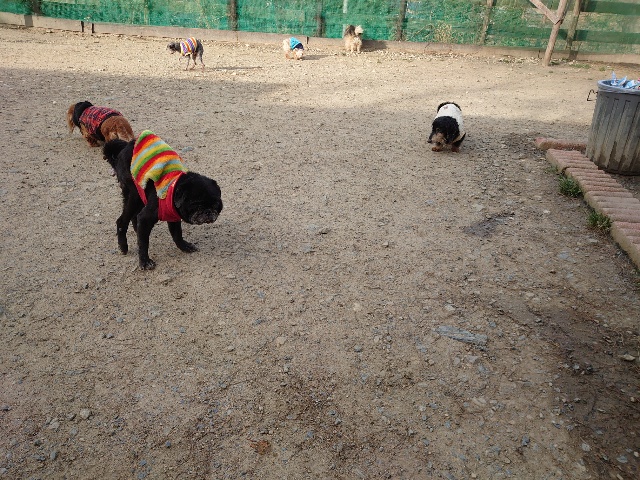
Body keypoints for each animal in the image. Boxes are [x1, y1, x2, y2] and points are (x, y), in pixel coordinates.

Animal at [102, 130, 223, 270]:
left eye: (215, 205)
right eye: (196, 206)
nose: (208, 211)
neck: (173, 187)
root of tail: (124, 148)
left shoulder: (173, 216)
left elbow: (177, 235)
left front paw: (184, 246)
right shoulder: (147, 217)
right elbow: (143, 244)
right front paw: (144, 261)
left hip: (140, 196)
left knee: (134, 217)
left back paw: (136, 230)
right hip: (133, 195)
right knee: (122, 221)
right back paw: (123, 246)